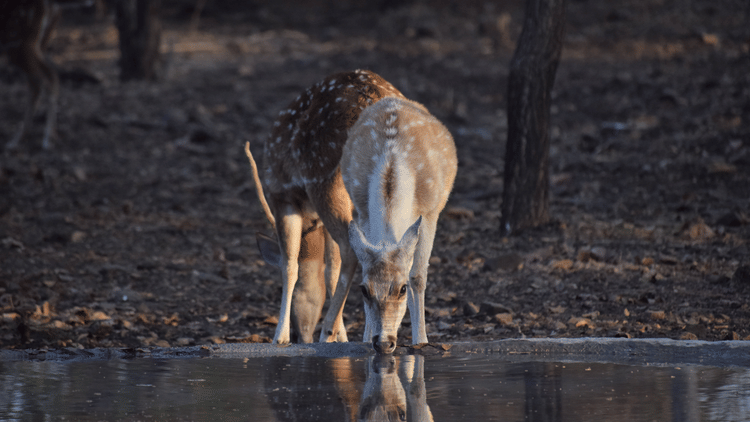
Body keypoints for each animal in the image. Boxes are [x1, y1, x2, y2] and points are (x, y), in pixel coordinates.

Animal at [246, 69, 457, 353]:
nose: (301, 335)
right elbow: (331, 269)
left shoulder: (283, 198)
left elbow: (290, 265)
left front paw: (280, 337)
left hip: (322, 180)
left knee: (348, 250)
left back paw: (327, 332)